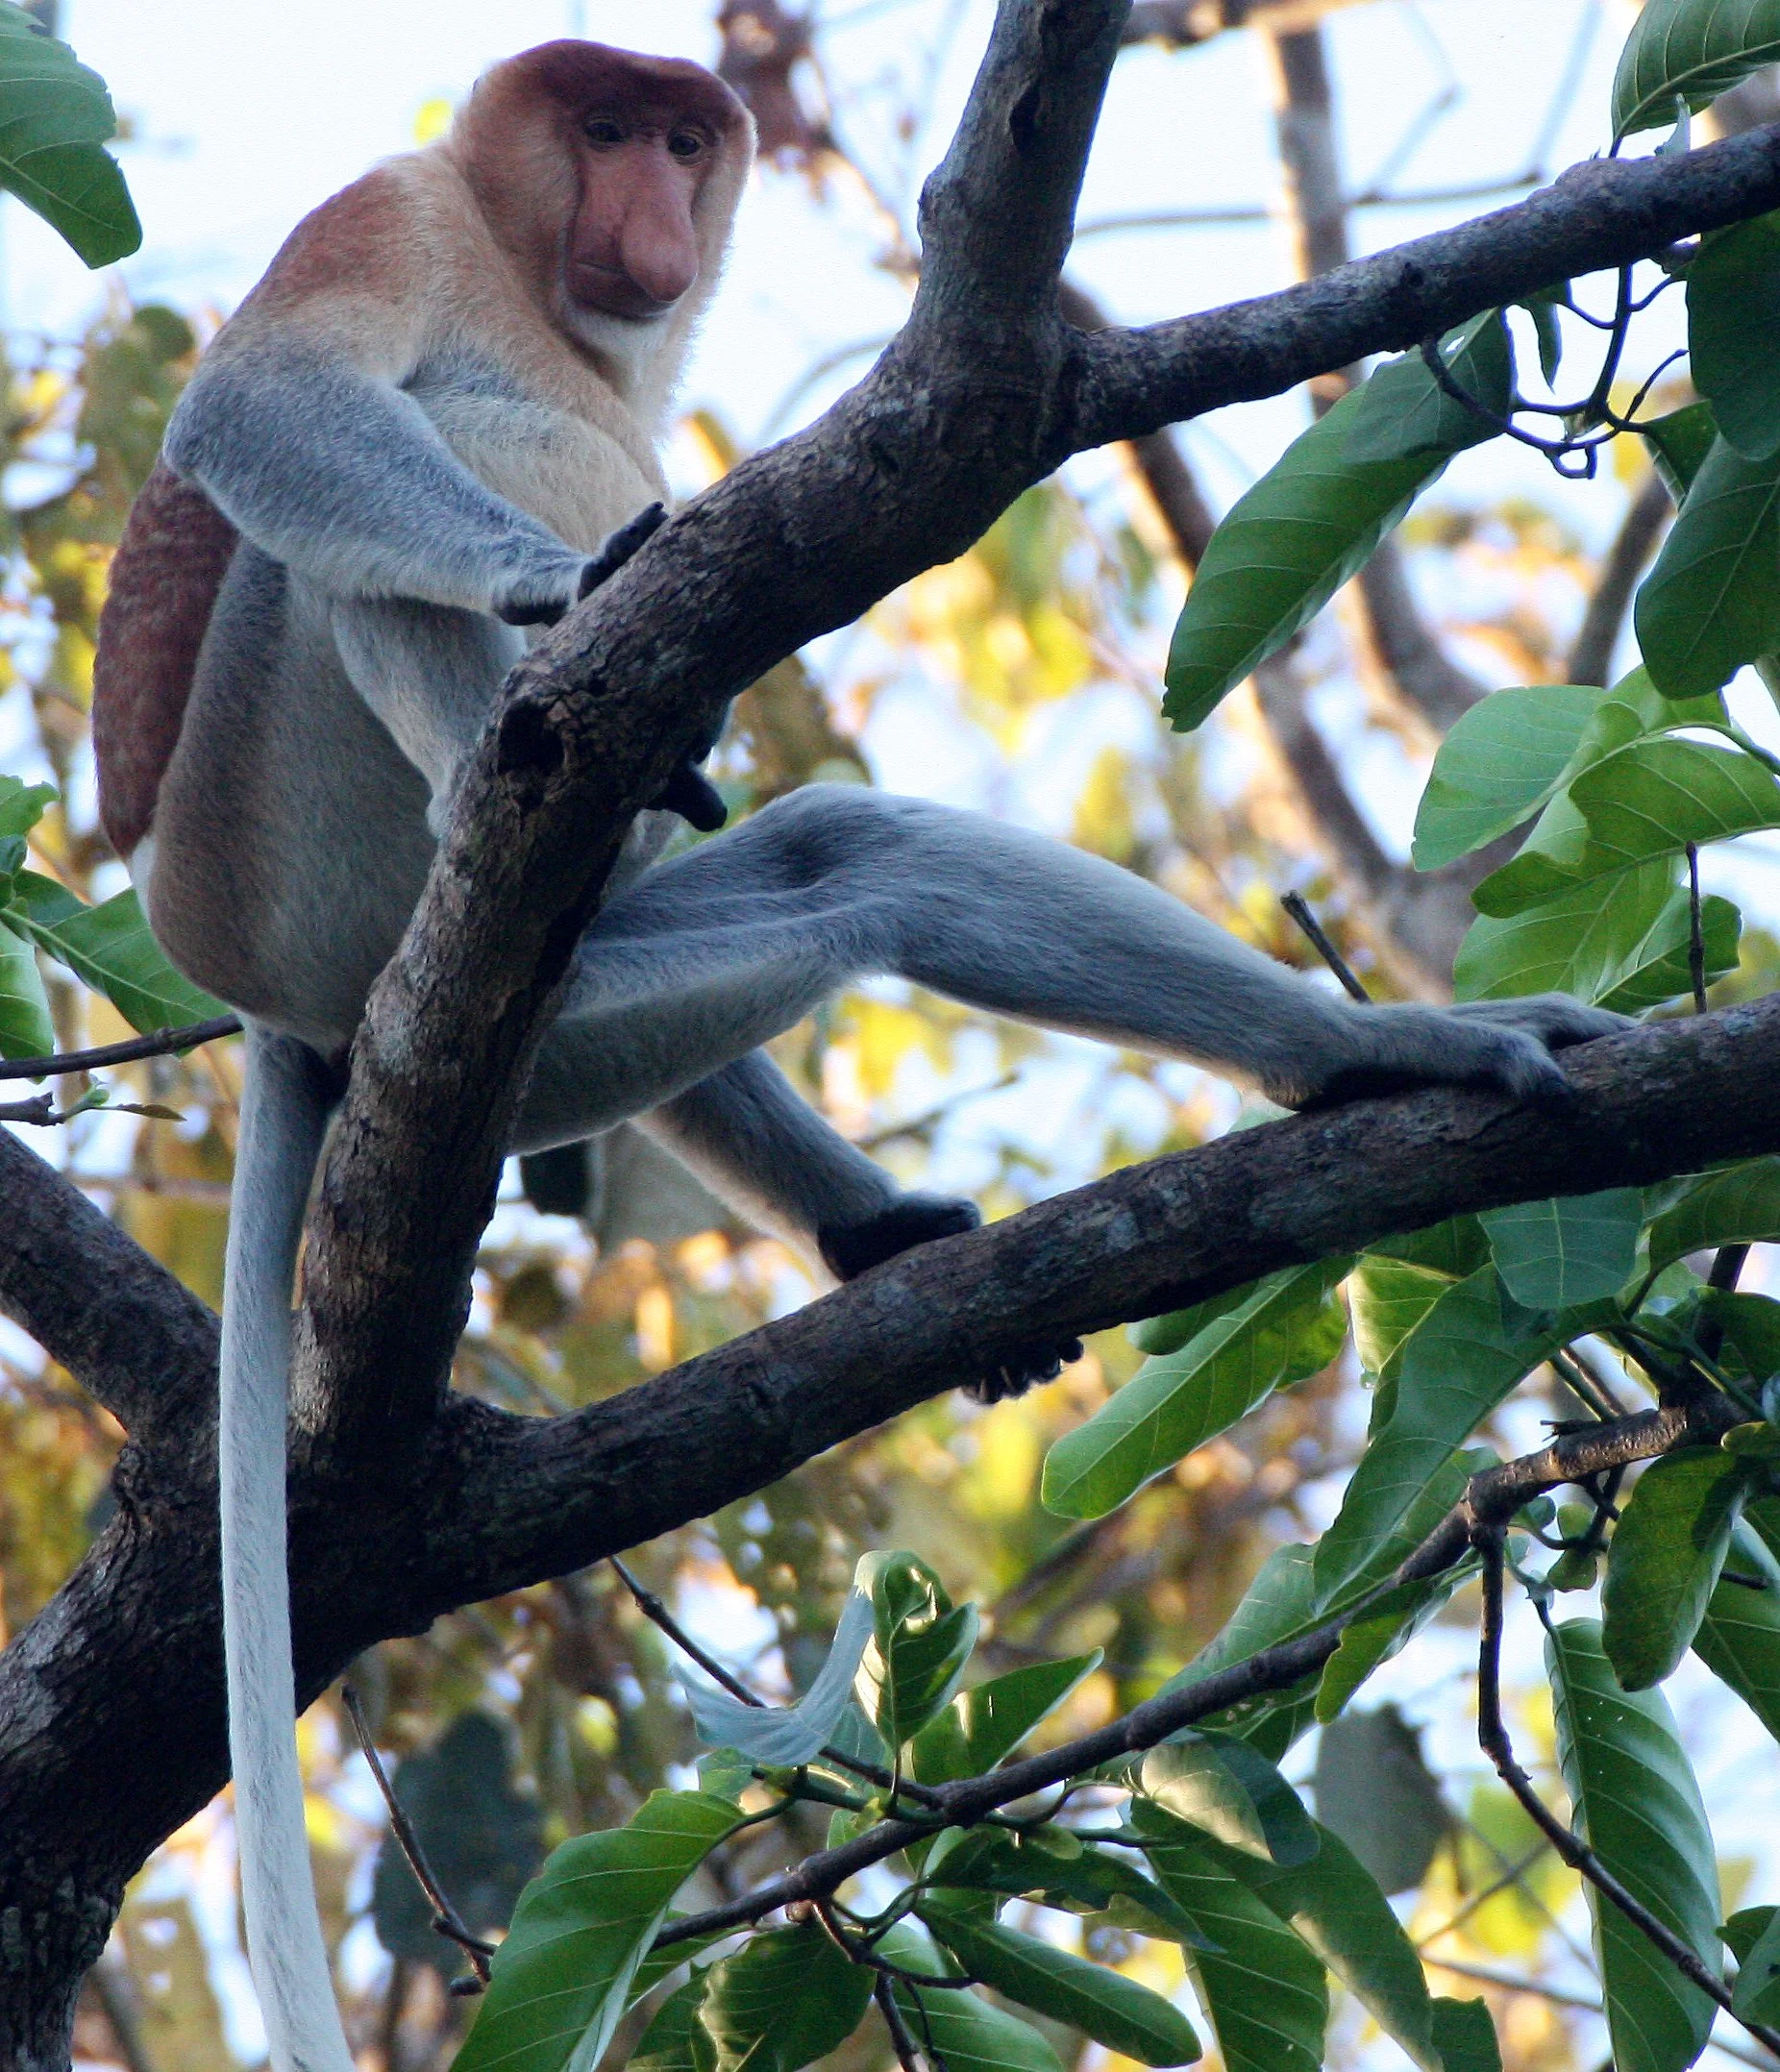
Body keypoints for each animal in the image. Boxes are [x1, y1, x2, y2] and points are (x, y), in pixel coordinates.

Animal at [88, 37, 1623, 2072]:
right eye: (598, 128)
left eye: (681, 138)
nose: (652, 207)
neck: (543, 291)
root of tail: (278, 1005)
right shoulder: (396, 210)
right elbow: (267, 397)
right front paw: (550, 584)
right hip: (276, 841)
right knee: (353, 563)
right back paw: (517, 738)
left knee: (848, 865)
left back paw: (1284, 1083)